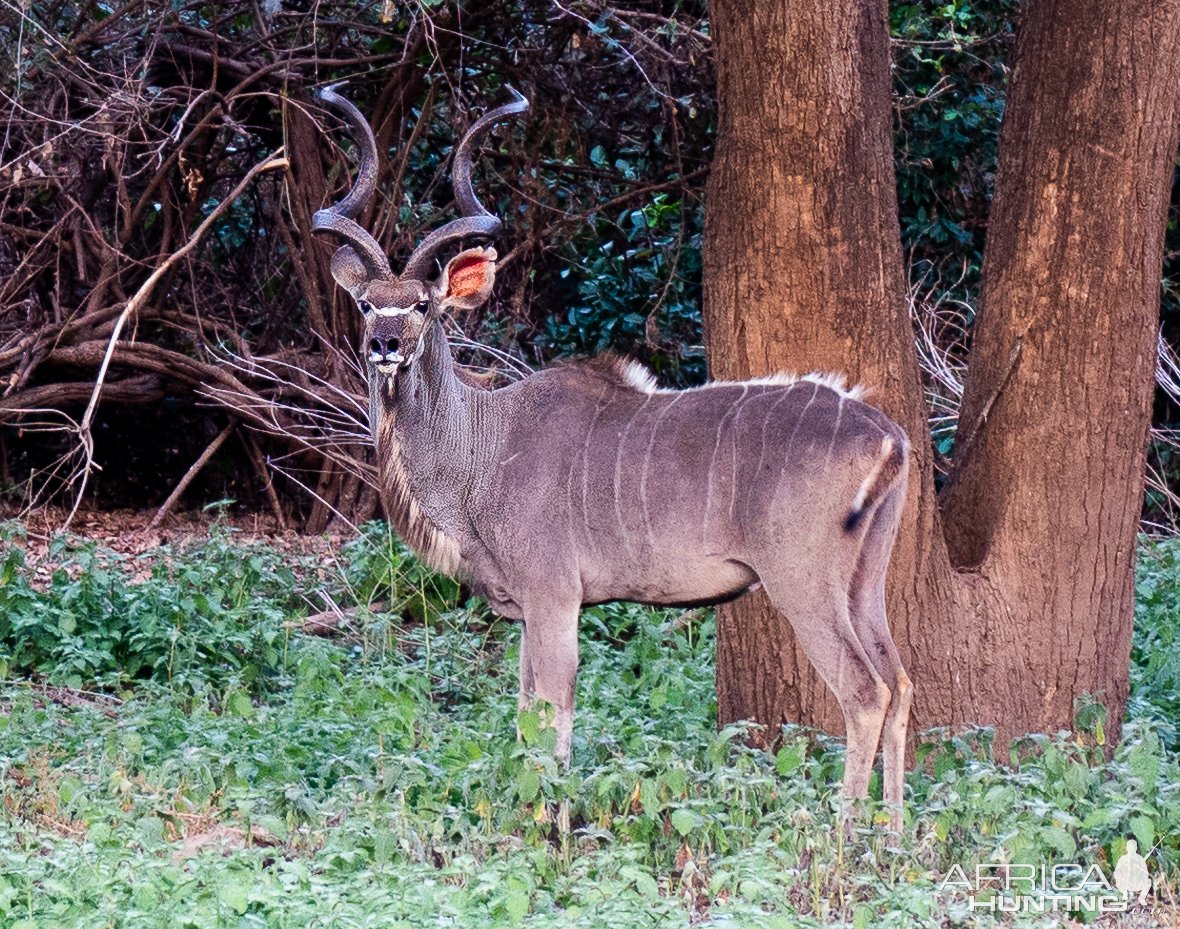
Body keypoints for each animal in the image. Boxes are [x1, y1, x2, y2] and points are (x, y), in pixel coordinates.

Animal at [311, 87, 910, 826]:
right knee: (901, 682)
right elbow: (524, 715)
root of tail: (887, 434)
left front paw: (550, 825)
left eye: (424, 305)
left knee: (865, 690)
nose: (385, 346)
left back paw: (844, 836)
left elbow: (554, 716)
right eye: (368, 304)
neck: (484, 443)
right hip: (866, 580)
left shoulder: (554, 596)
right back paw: (895, 833)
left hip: (803, 582)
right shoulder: (533, 609)